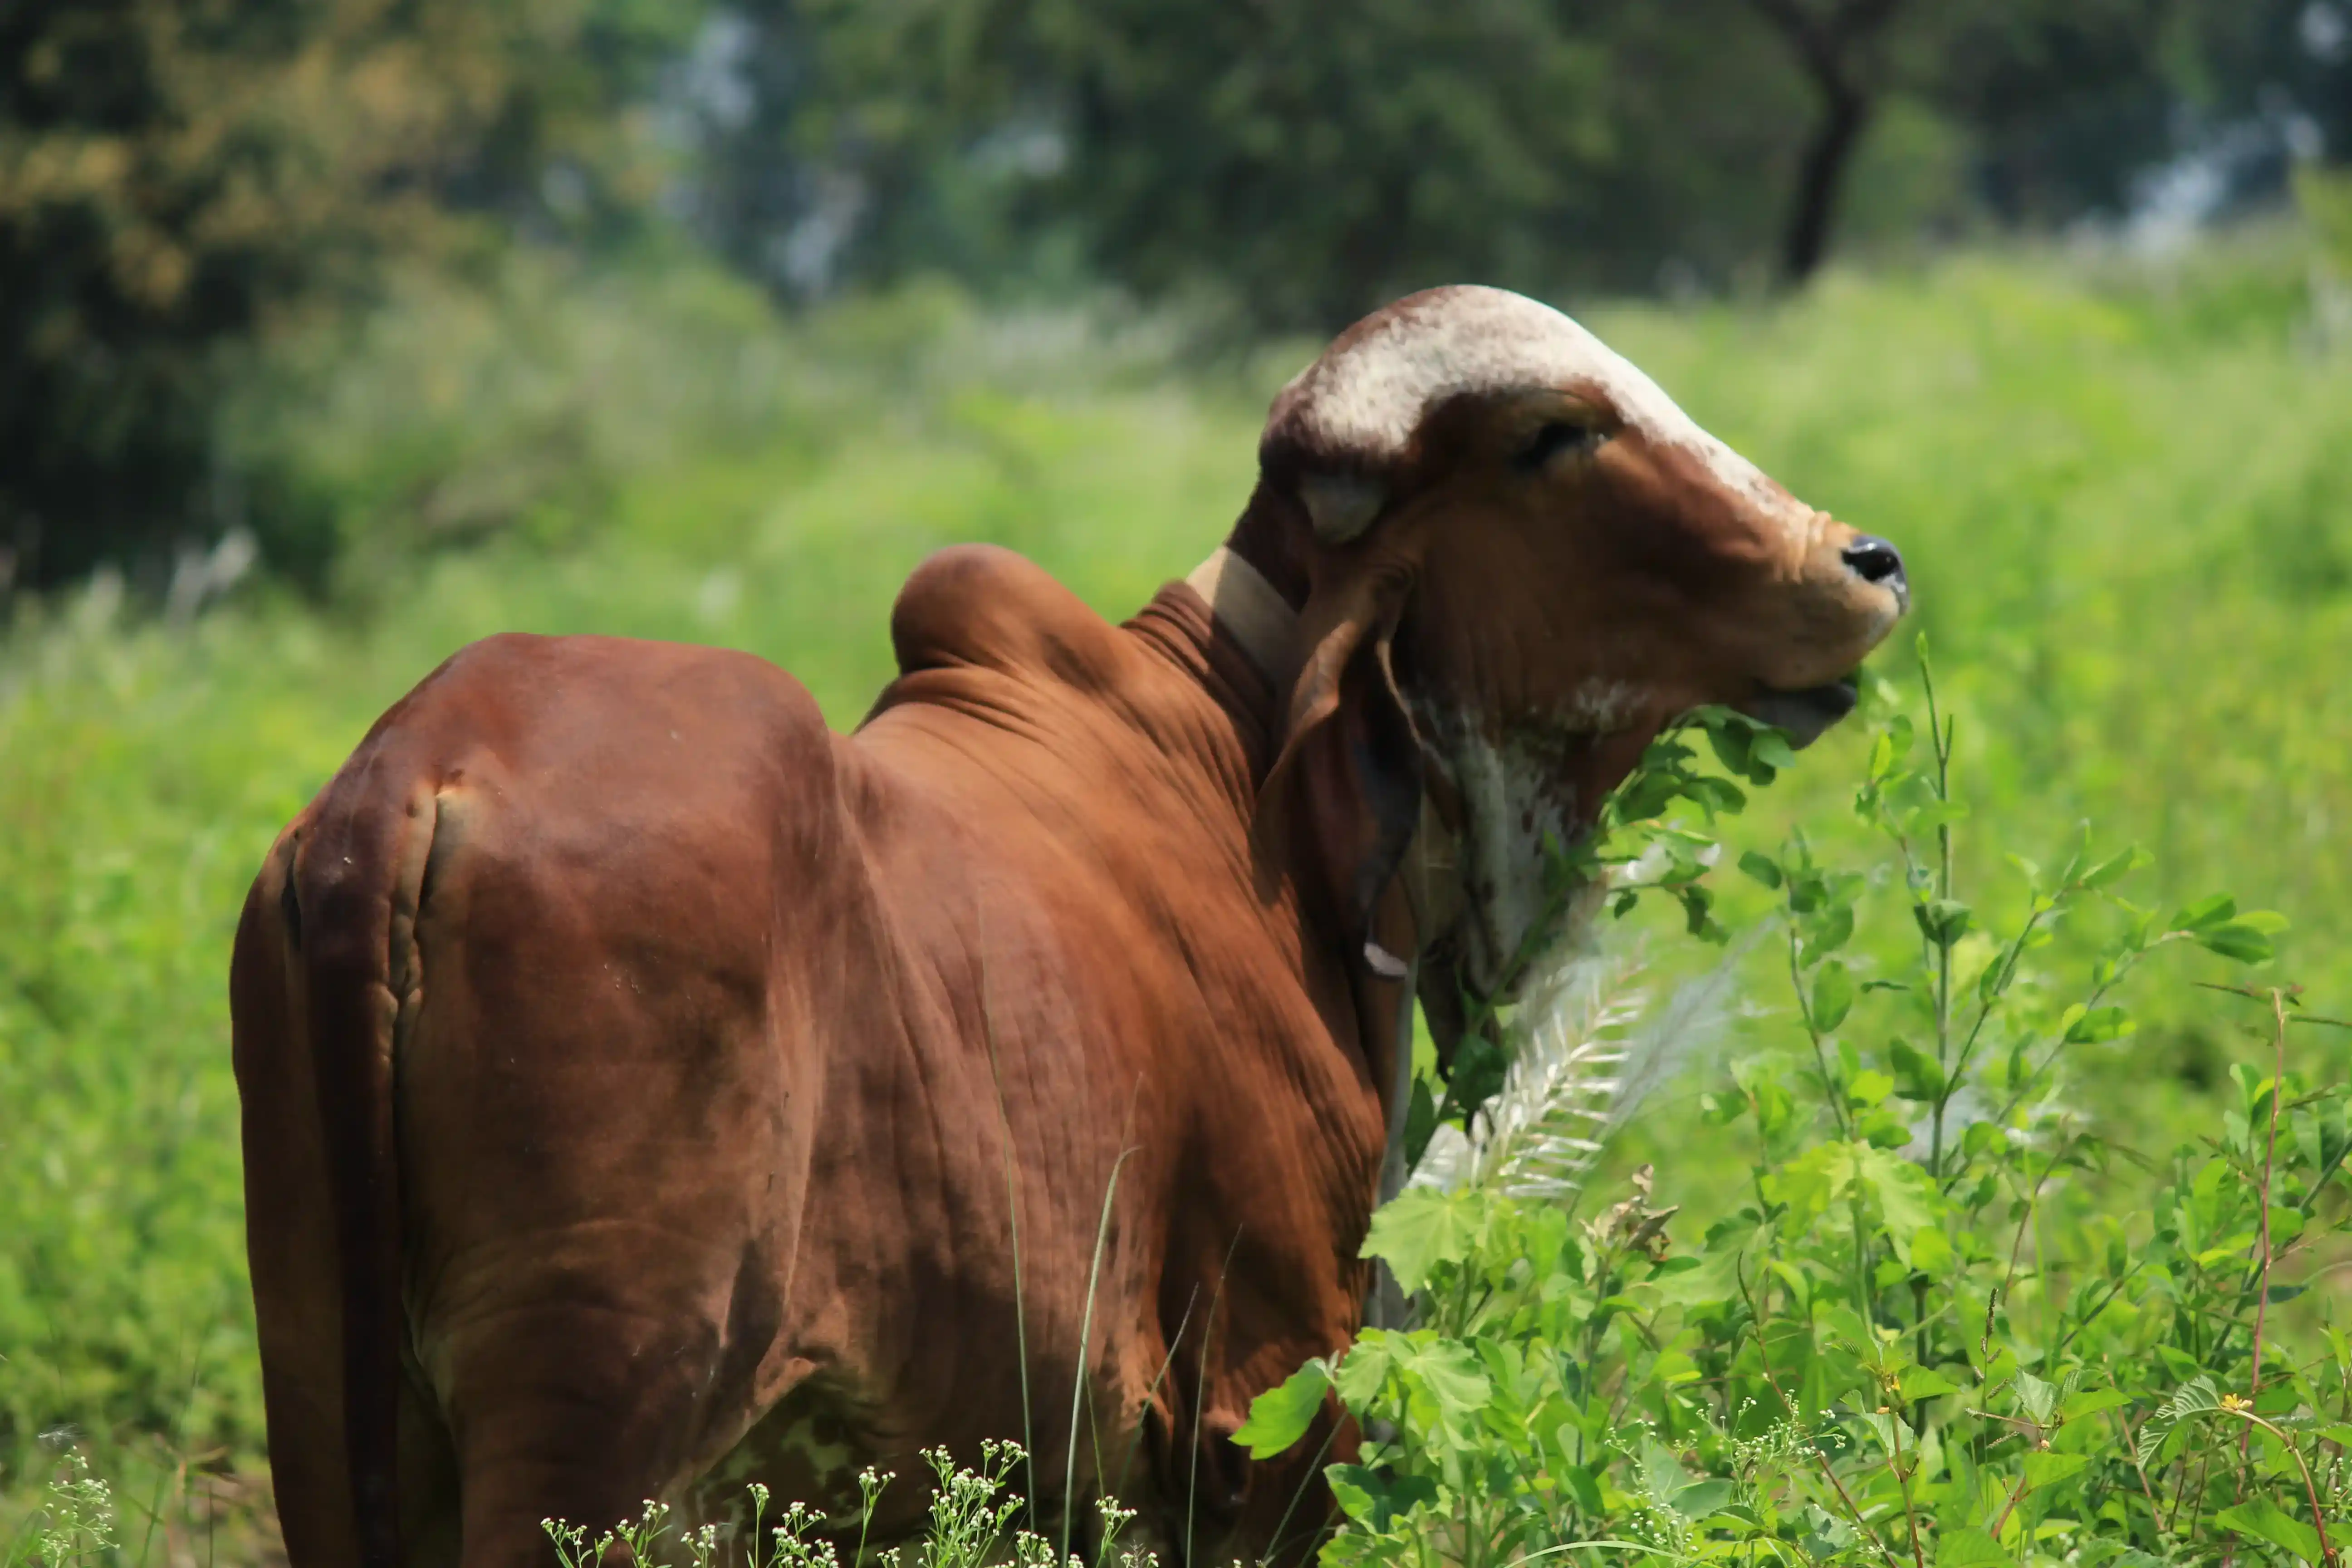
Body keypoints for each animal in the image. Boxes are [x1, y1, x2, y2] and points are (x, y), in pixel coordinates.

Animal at [229, 288, 1900, 1568]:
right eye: (1553, 436)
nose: (1861, 562)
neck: (1246, 773)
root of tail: (413, 776)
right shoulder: (1264, 1417)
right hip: (596, 1440)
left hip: (331, 1416)